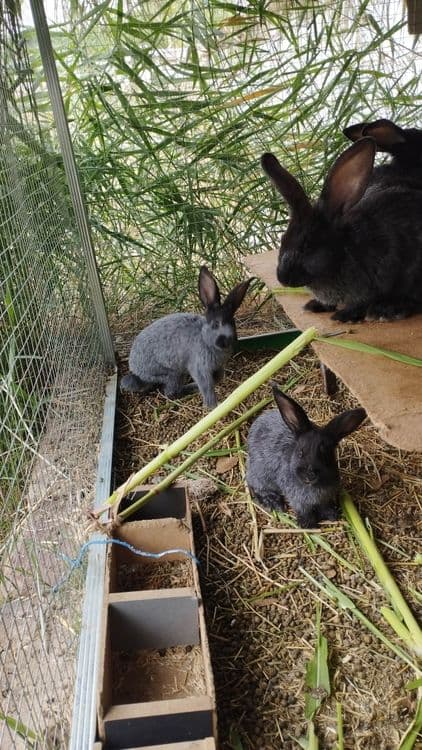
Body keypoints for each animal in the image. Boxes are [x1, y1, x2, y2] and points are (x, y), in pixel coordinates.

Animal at [120, 266, 253, 408]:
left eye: (233, 323)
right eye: (216, 324)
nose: (228, 341)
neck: (204, 338)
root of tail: (135, 369)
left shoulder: (217, 368)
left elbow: (217, 379)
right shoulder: (200, 368)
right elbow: (207, 387)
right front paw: (213, 406)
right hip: (172, 374)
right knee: (171, 393)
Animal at [246, 383, 366, 528]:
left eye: (325, 454)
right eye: (300, 452)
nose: (309, 476)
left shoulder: (325, 498)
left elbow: (325, 506)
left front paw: (332, 515)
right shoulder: (298, 500)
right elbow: (304, 511)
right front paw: (308, 524)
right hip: (261, 474)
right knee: (255, 485)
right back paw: (274, 503)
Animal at [260, 137, 422, 322]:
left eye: (307, 245)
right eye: (282, 239)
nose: (283, 278)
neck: (344, 252)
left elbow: (362, 302)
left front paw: (344, 315)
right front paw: (314, 306)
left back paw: (385, 311)